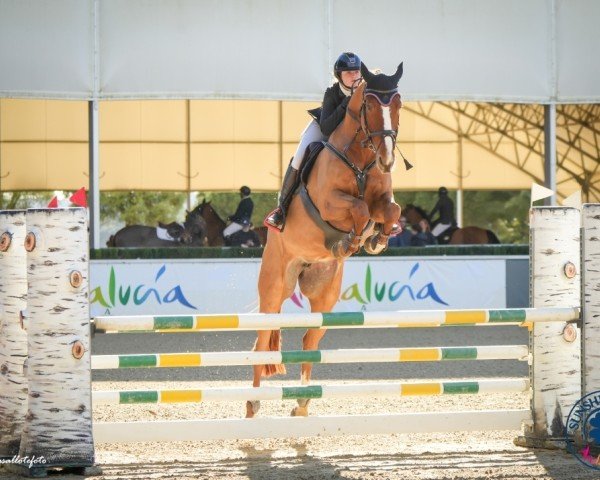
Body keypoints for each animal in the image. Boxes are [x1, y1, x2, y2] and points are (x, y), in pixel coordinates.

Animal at [246, 62, 406, 416]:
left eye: (398, 104)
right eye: (369, 105)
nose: (387, 160)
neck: (361, 159)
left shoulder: (383, 200)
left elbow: (391, 209)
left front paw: (376, 240)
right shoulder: (331, 203)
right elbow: (359, 208)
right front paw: (353, 239)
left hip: (325, 293)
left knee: (310, 341)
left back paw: (302, 403)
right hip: (274, 286)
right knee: (263, 340)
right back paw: (252, 404)